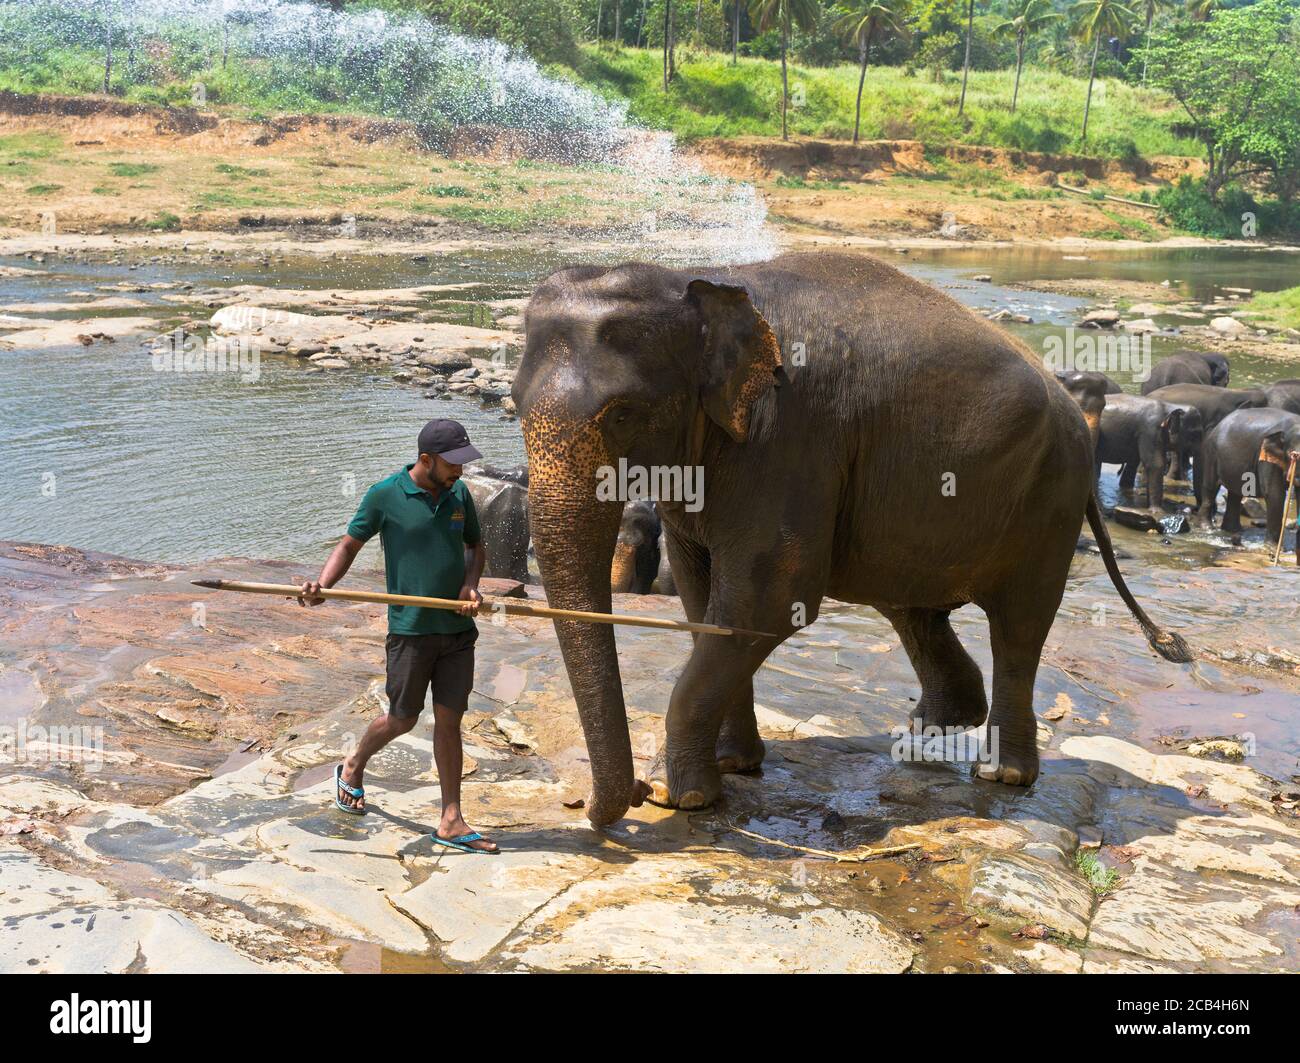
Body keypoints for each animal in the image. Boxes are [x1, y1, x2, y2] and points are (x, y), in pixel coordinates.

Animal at [513, 251, 1191, 827]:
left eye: (622, 414)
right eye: (513, 403)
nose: (615, 801)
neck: (701, 279)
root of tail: (1073, 412)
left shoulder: (792, 439)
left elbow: (769, 597)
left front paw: (679, 796)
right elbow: (702, 597)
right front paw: (731, 769)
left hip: (1050, 499)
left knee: (1019, 625)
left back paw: (1003, 774)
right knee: (913, 608)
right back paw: (928, 730)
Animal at [1199, 408, 1300, 563]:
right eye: (1292, 455)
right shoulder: (1265, 456)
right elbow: (1274, 493)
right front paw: (1272, 549)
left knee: (1235, 494)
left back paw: (1233, 531)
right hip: (1211, 453)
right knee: (1210, 488)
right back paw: (1208, 529)